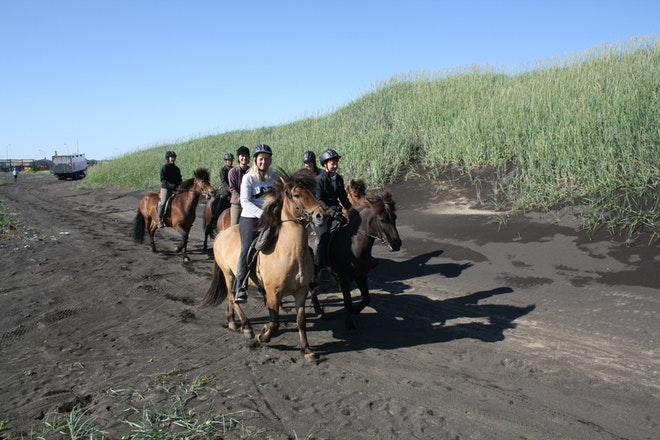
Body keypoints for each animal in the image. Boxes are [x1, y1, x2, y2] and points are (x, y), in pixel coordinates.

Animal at [201, 170, 324, 360]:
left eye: (312, 193)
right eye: (297, 195)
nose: (321, 215)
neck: (289, 253)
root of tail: (222, 234)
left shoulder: (301, 292)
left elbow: (300, 321)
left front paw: (307, 350)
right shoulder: (273, 293)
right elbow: (274, 324)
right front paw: (261, 336)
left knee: (230, 298)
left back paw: (232, 322)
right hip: (228, 274)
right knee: (232, 297)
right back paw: (247, 327)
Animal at [310, 182, 402, 330]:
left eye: (394, 218)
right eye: (382, 219)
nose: (397, 244)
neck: (354, 244)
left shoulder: (361, 276)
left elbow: (366, 298)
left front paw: (356, 310)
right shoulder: (343, 278)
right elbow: (347, 301)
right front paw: (349, 323)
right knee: (312, 289)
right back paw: (318, 310)